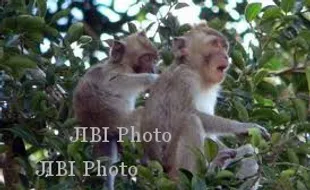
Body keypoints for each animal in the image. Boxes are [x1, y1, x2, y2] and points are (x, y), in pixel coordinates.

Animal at [72, 31, 159, 190]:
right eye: (147, 58)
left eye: (154, 59)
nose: (153, 69)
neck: (121, 63)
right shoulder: (118, 72)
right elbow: (115, 82)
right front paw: (154, 79)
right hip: (124, 125)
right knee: (143, 113)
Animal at [140, 23, 268, 180]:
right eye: (214, 44)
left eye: (224, 47)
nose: (226, 56)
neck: (198, 73)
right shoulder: (184, 78)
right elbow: (187, 113)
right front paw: (243, 127)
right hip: (170, 164)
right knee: (191, 121)